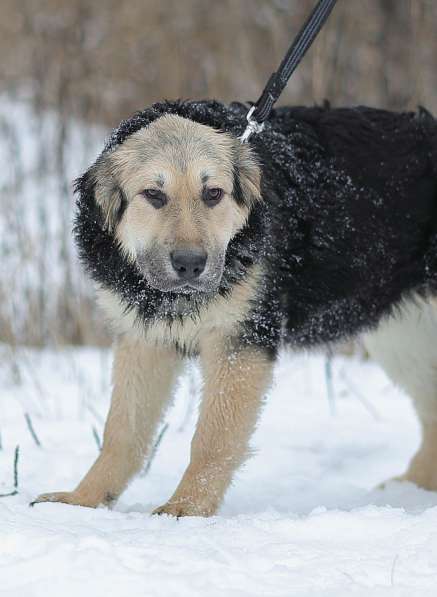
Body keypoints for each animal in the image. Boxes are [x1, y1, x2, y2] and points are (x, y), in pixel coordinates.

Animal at [31, 100, 436, 516]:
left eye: (213, 193)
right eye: (154, 195)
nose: (190, 264)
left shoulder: (238, 340)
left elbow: (213, 438)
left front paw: (186, 507)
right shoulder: (145, 340)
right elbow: (122, 432)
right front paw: (83, 500)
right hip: (404, 339)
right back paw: (412, 488)